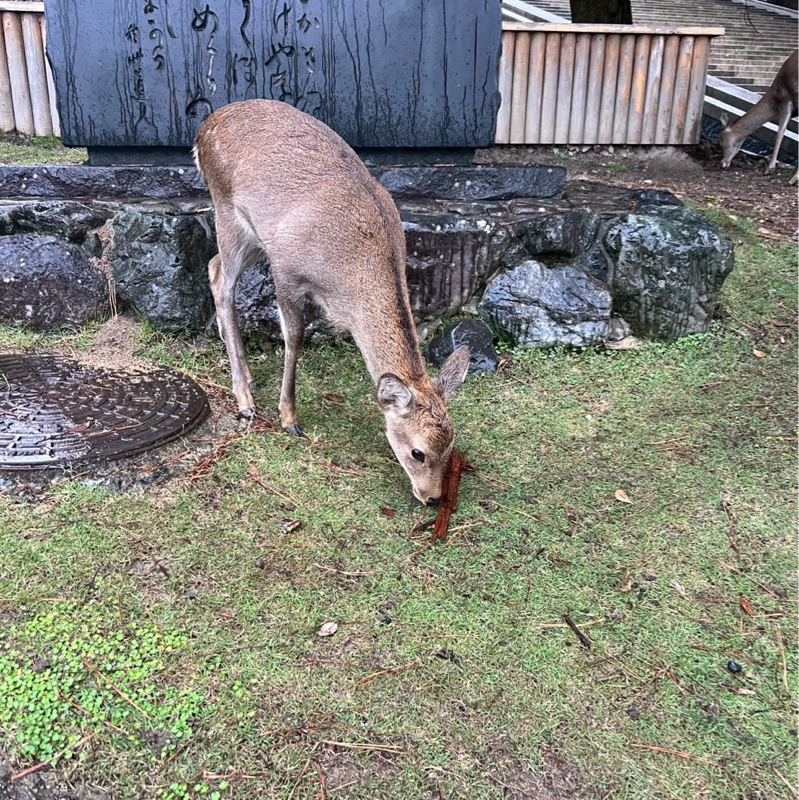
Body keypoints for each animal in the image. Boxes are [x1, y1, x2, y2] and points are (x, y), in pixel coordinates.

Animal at [193, 100, 470, 506]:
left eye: (450, 446)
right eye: (418, 452)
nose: (432, 498)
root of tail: (202, 130)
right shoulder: (286, 269)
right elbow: (294, 339)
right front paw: (289, 419)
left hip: (253, 235)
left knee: (213, 266)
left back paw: (248, 380)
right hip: (227, 210)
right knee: (220, 280)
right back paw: (244, 399)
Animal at [720, 49, 798, 185]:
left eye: (721, 140)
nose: (722, 163)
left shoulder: (786, 100)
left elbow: (779, 134)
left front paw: (769, 169)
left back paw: (792, 179)